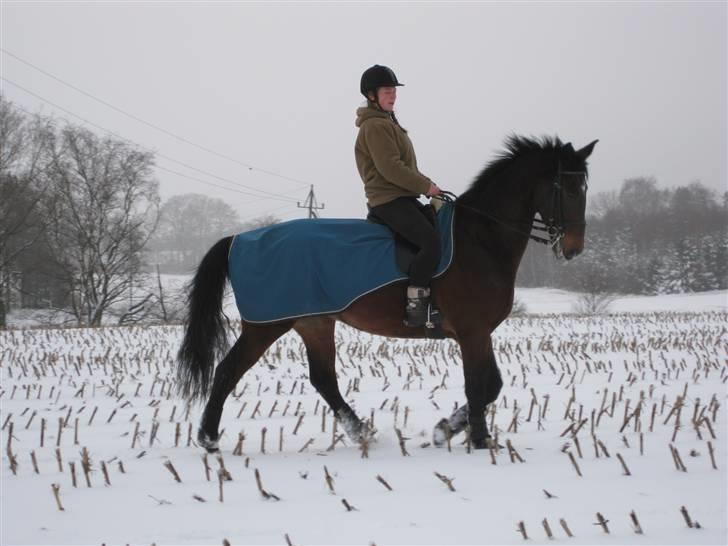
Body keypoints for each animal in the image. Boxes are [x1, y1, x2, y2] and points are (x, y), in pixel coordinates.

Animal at [176, 135, 598, 452]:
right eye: (567, 188)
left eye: (585, 188)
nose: (574, 248)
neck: (481, 239)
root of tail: (239, 240)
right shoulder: (472, 331)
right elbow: (478, 385)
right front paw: (478, 440)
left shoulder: (480, 332)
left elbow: (491, 384)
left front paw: (447, 429)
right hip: (266, 325)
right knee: (228, 370)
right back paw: (208, 439)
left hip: (315, 323)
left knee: (323, 379)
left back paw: (360, 431)